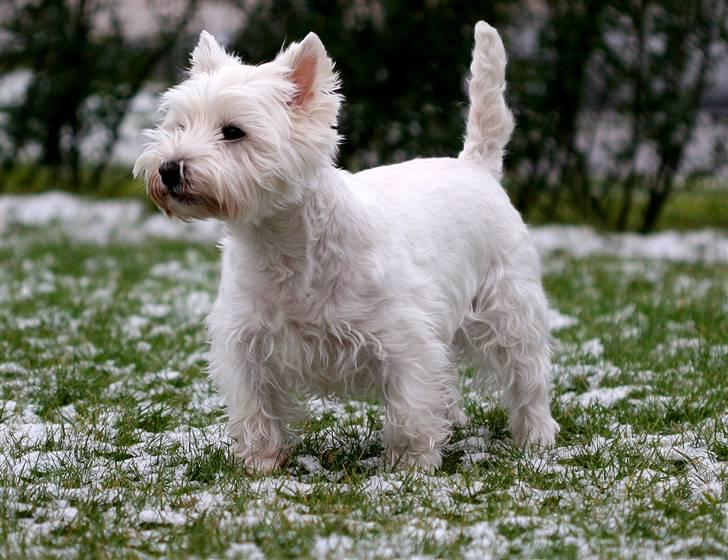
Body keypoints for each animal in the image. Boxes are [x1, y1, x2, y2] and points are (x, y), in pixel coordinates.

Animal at [135, 21, 556, 470]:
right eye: (178, 125)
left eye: (233, 132)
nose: (169, 169)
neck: (284, 245)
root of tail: (475, 166)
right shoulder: (246, 341)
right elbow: (255, 408)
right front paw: (259, 464)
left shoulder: (405, 339)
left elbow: (410, 408)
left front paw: (410, 467)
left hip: (509, 307)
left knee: (527, 375)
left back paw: (537, 438)